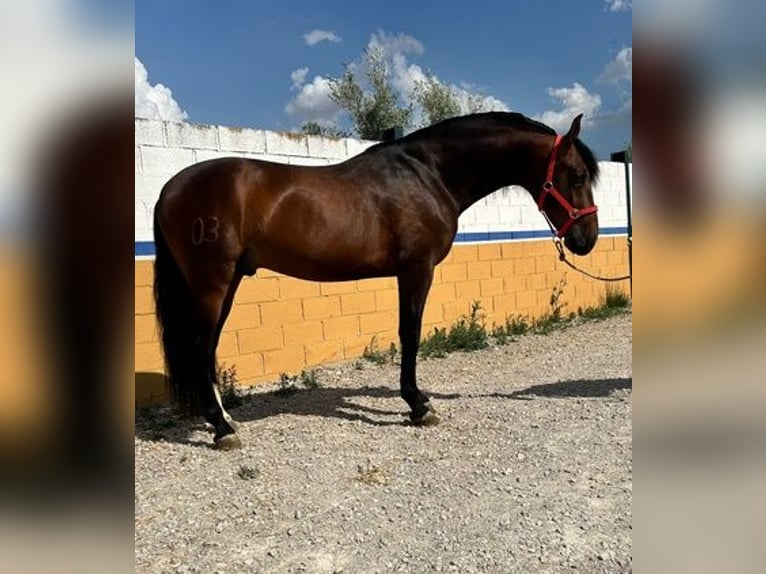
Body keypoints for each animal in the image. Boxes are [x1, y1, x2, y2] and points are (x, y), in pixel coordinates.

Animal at [153, 113, 604, 450]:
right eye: (578, 175)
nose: (587, 240)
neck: (428, 174)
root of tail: (169, 189)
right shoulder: (417, 269)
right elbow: (411, 333)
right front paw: (418, 405)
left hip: (227, 283)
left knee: (208, 347)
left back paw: (225, 419)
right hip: (212, 283)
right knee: (199, 345)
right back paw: (221, 428)